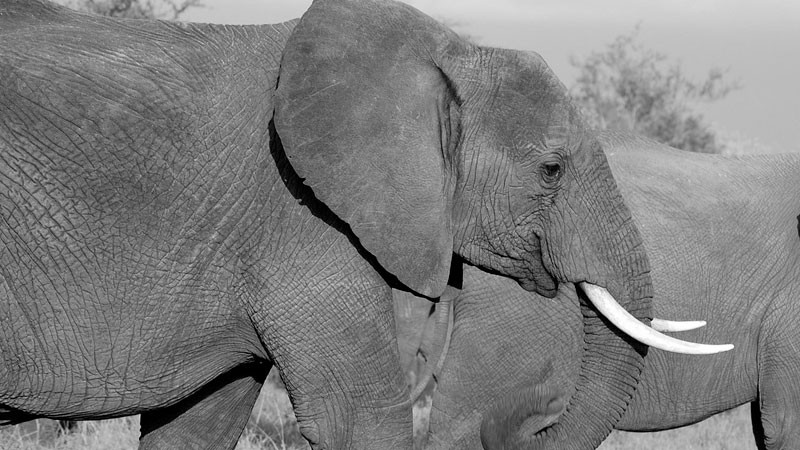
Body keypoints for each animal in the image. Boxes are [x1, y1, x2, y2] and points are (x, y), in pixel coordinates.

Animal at [0, 0, 725, 448]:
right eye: (551, 170)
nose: (535, 417)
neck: (445, 55)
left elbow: (197, 424)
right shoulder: (299, 217)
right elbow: (360, 419)